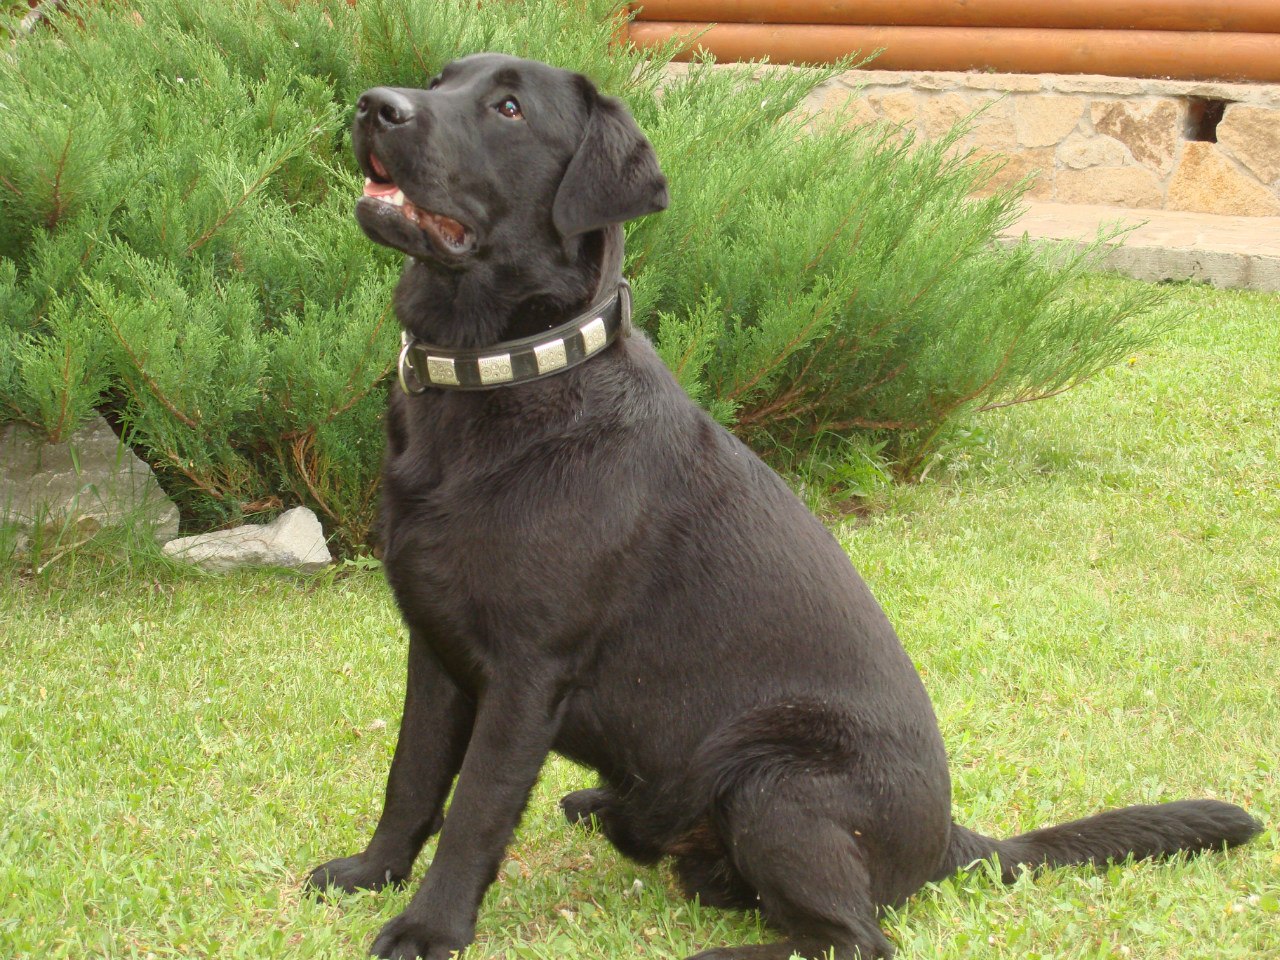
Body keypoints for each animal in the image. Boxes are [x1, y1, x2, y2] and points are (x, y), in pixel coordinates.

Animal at [305, 54, 1261, 960]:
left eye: (507, 107)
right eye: (439, 81)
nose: (374, 106)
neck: (503, 378)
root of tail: (948, 843)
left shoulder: (528, 670)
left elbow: (474, 812)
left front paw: (427, 928)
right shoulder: (436, 648)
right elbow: (412, 780)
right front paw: (371, 873)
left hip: (776, 779)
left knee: (855, 936)